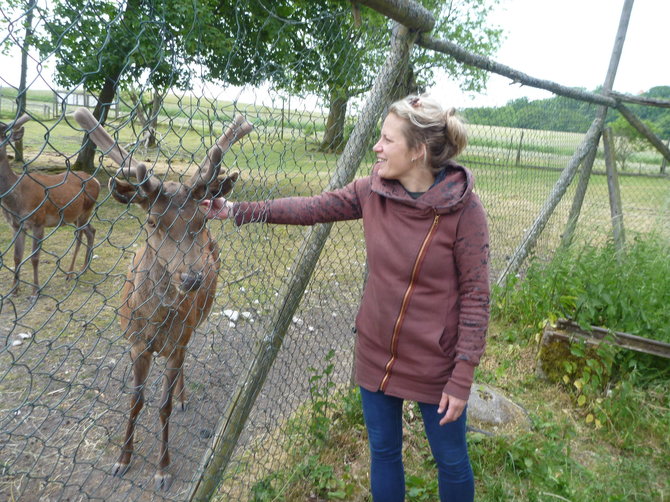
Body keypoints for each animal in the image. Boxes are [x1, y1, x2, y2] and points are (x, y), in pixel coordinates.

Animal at [0, 113, 101, 298]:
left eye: (3, 137)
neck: (15, 201)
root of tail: (96, 181)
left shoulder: (38, 221)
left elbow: (34, 258)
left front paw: (35, 290)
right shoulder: (15, 225)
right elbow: (17, 257)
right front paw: (14, 290)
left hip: (86, 210)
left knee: (80, 236)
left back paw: (70, 273)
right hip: (76, 215)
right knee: (91, 231)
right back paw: (84, 267)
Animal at [72, 107, 253, 490]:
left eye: (200, 221)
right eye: (153, 222)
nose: (191, 278)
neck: (155, 320)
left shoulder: (175, 341)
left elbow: (163, 406)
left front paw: (163, 468)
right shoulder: (135, 343)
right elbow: (135, 401)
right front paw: (123, 459)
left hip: (195, 322)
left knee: (185, 360)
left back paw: (184, 397)